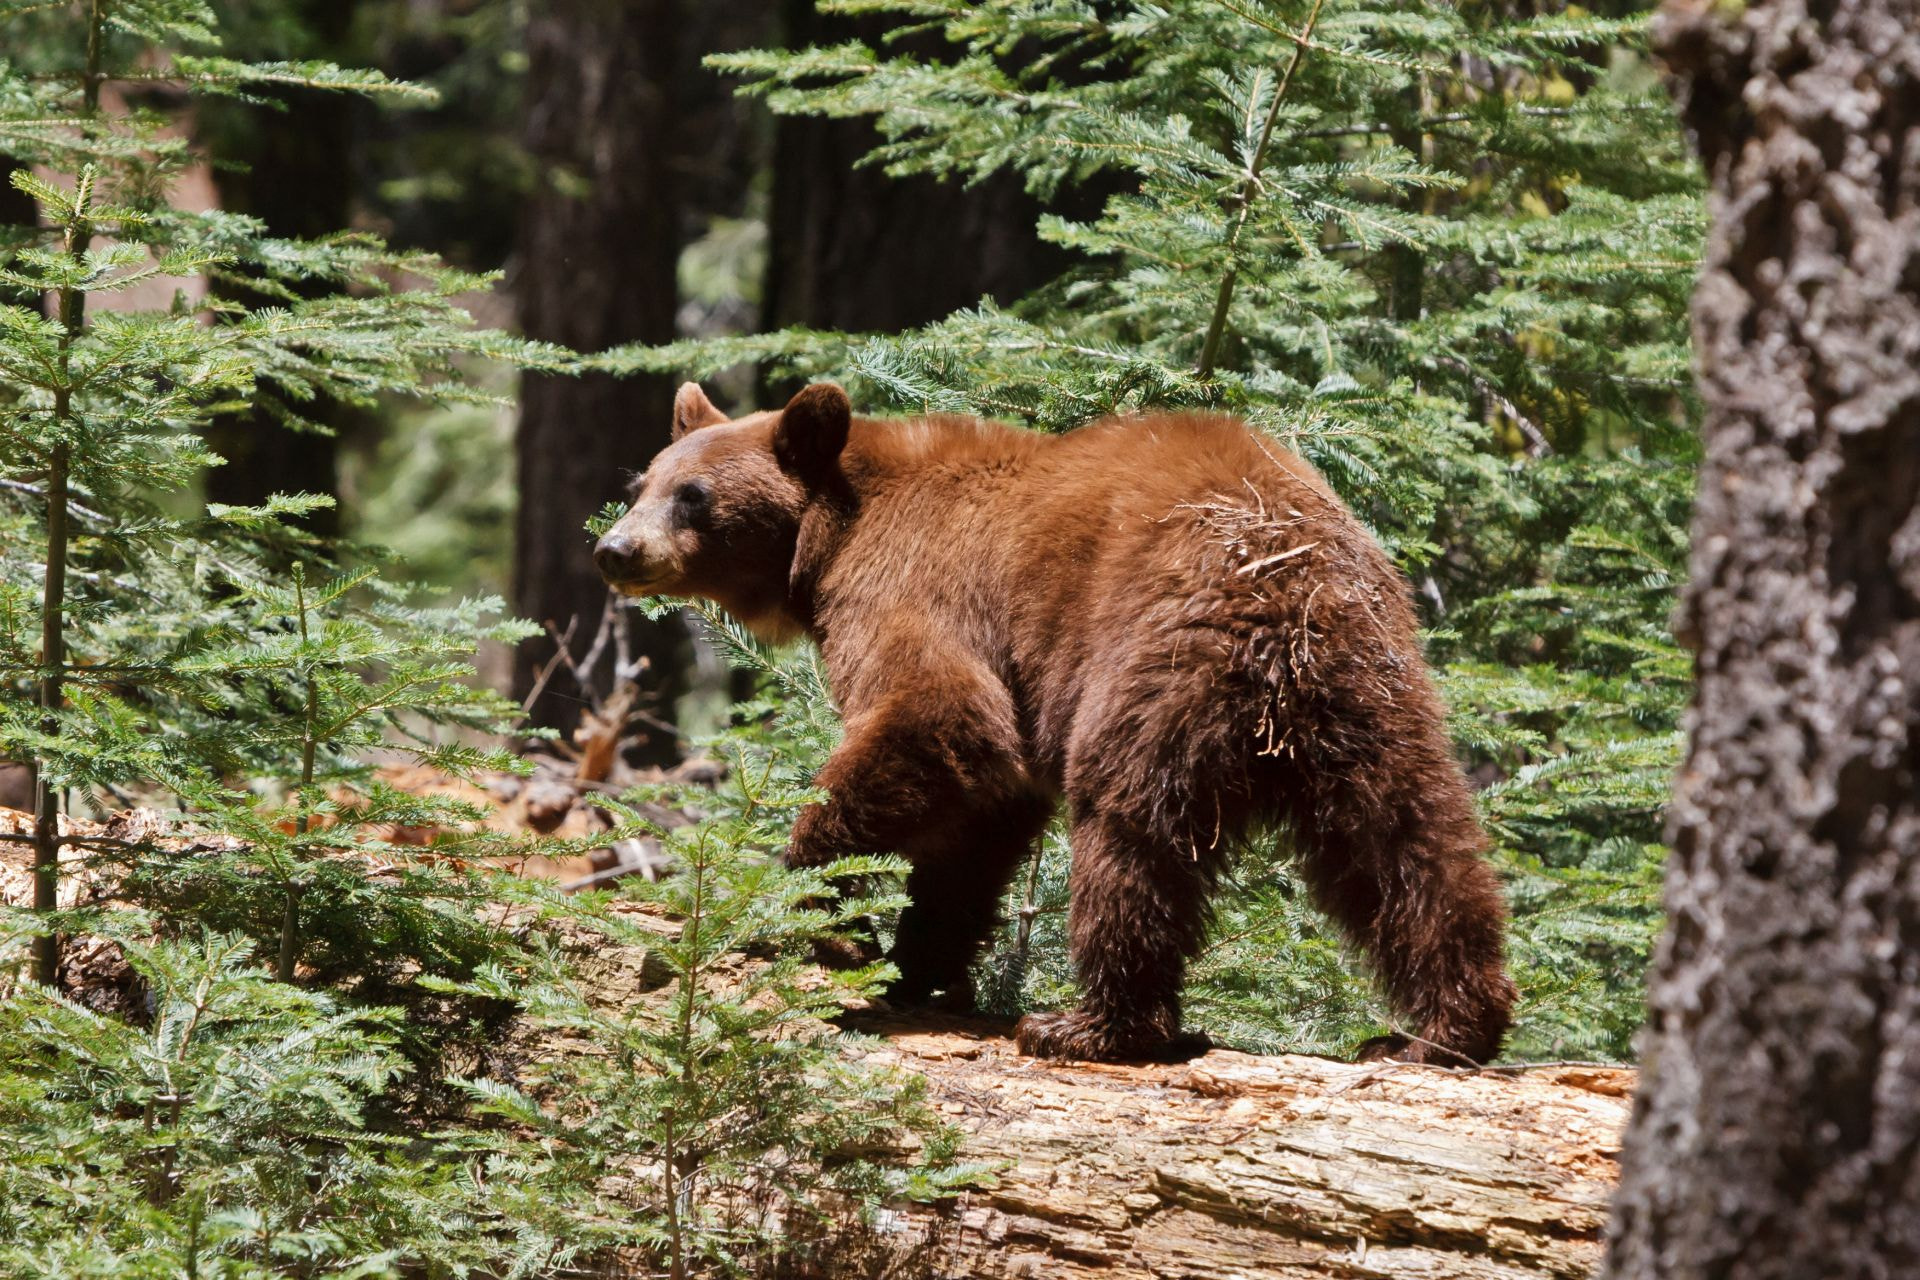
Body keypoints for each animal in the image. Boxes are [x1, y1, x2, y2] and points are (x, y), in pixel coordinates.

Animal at [591, 379, 1520, 1059]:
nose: (613, 549)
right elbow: (981, 825)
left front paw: (802, 904)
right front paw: (917, 961)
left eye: (693, 496)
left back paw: (1089, 1024)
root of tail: (1291, 587)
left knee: (1131, 836)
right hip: (1370, 690)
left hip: (1153, 661)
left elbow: (938, 720)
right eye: (643, 483)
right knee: (1409, 843)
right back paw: (1449, 1027)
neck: (830, 540)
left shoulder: (916, 588)